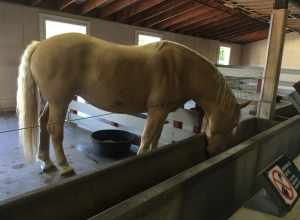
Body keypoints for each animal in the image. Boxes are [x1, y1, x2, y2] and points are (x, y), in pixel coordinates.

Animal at [18, 33, 248, 175]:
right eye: (232, 123)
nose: (215, 152)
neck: (182, 68)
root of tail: (40, 45)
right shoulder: (156, 111)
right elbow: (146, 138)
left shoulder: (162, 112)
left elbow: (156, 138)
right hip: (60, 100)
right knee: (54, 129)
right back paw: (64, 166)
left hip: (51, 101)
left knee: (43, 124)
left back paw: (46, 162)